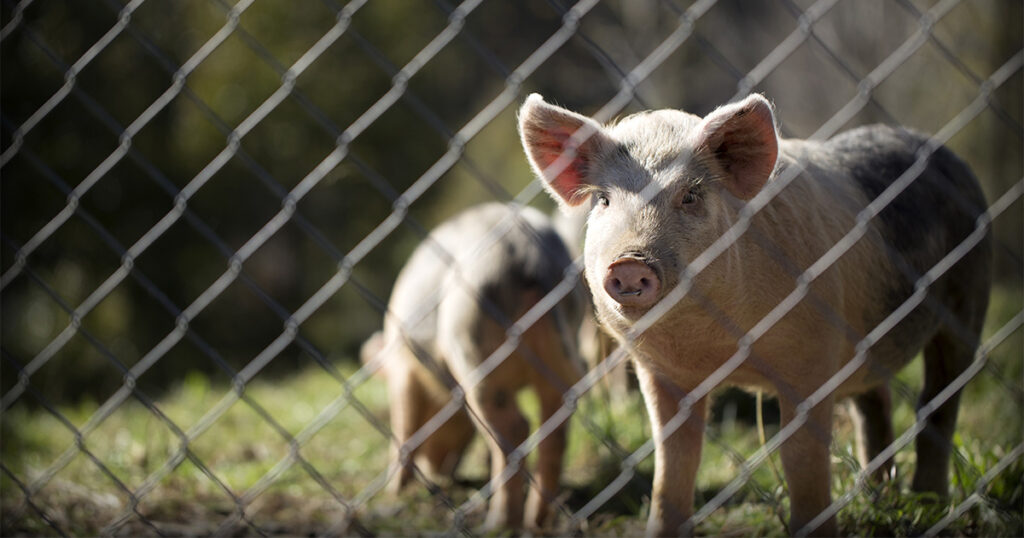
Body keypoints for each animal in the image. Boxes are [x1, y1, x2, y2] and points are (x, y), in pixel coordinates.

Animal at [366, 203, 585, 528]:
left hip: (471, 341)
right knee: (555, 424)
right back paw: (536, 522)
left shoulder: (403, 369)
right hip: (562, 350)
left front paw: (394, 491)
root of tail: (531, 255)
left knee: (515, 427)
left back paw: (498, 523)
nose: (440, 473)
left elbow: (404, 423)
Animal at [520, 92, 991, 532]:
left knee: (939, 400)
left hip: (968, 295)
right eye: (603, 200)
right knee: (875, 401)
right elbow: (674, 463)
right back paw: (880, 498)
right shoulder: (661, 373)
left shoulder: (812, 357)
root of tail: (944, 153)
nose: (629, 262)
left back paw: (929, 504)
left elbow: (800, 459)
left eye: (691, 195)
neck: (719, 348)